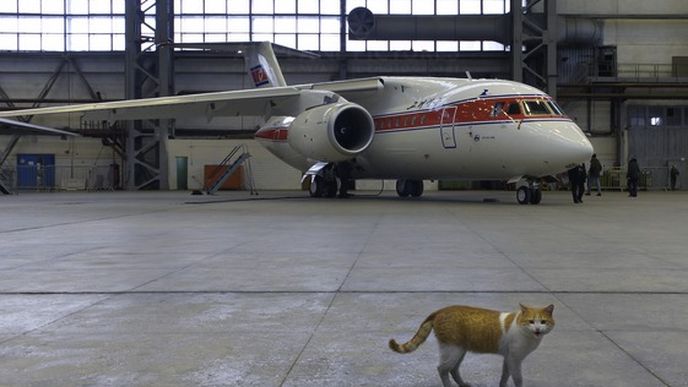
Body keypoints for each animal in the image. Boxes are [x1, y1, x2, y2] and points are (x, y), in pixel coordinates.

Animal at [390, 304, 556, 386]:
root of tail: (439, 311)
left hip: (459, 350)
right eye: (531, 322)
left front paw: (502, 385)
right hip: (453, 350)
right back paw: (449, 386)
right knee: (442, 369)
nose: (537, 329)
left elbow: (504, 375)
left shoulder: (509, 358)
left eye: (543, 322)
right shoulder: (514, 359)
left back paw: (463, 384)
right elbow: (518, 379)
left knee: (453, 369)